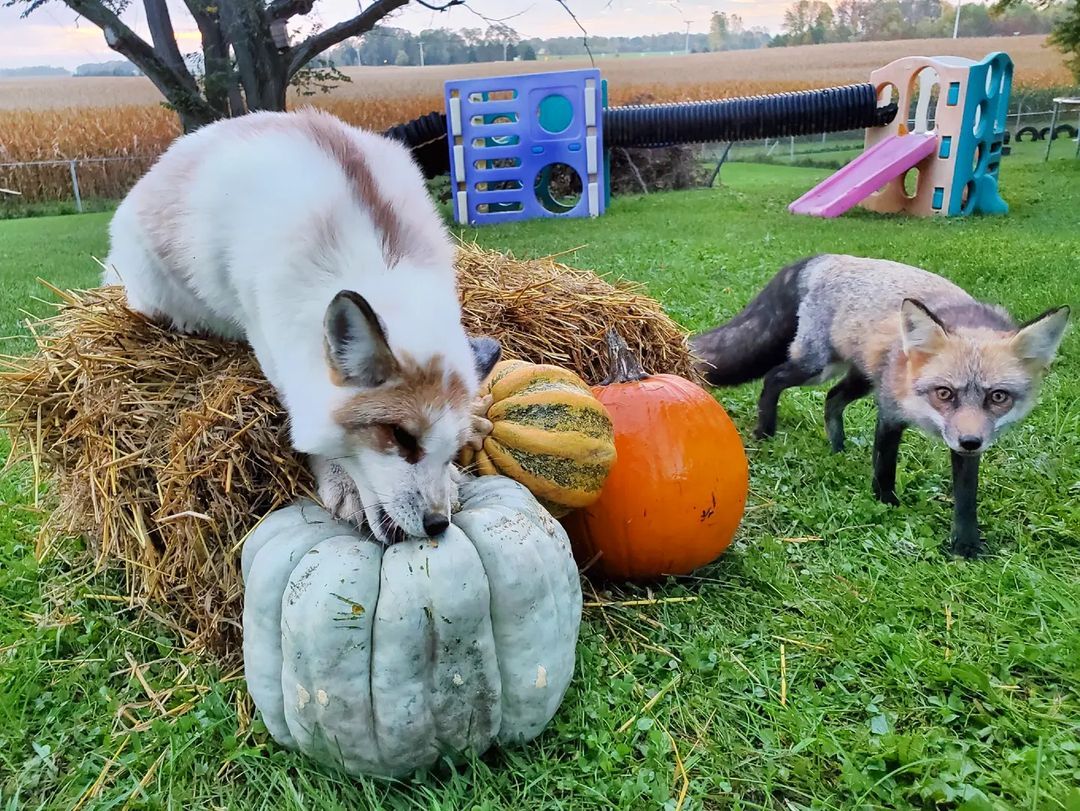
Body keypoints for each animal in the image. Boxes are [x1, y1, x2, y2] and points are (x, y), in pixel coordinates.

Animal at [102, 108, 501, 544]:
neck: (381, 267)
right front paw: (341, 481)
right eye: (400, 436)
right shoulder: (273, 347)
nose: (437, 524)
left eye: (453, 447)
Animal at [690, 254, 1069, 558]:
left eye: (998, 397)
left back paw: (837, 447)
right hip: (817, 366)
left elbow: (966, 496)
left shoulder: (962, 441)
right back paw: (765, 430)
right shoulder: (890, 411)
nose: (971, 442)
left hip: (859, 377)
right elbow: (885, 467)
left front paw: (965, 546)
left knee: (831, 399)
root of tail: (821, 258)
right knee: (773, 378)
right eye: (944, 393)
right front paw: (887, 504)